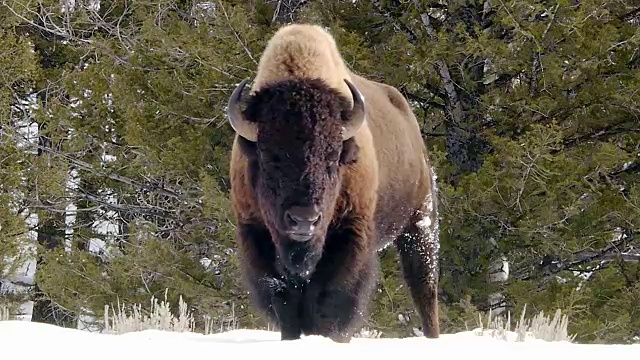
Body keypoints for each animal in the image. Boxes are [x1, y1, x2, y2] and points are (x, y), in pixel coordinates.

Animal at [225, 23, 440, 342]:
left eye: (333, 156)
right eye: (268, 156)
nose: (304, 220)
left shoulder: (350, 234)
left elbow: (330, 300)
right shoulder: (254, 232)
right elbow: (284, 301)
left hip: (419, 224)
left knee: (424, 287)